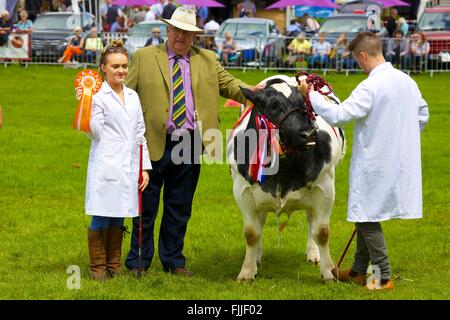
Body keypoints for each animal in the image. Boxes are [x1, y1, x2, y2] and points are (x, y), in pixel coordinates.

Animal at [227, 75, 346, 280]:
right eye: (273, 105)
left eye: (305, 105)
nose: (308, 134)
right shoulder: (242, 190)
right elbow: (251, 233)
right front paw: (247, 271)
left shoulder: (325, 188)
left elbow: (322, 232)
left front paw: (329, 271)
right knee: (261, 222)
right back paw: (257, 257)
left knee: (311, 220)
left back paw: (313, 254)